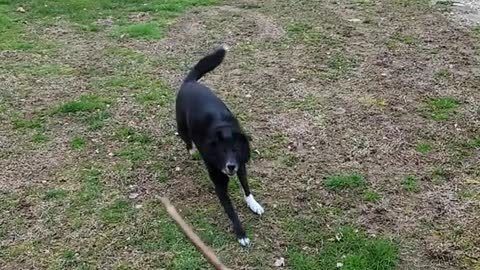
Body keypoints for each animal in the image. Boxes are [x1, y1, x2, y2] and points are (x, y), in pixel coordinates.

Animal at [176, 46, 264, 247]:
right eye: (222, 151)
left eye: (236, 150)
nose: (230, 166)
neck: (225, 130)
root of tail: (190, 81)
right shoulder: (220, 184)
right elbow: (231, 212)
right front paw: (241, 234)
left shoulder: (241, 166)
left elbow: (246, 187)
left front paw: (253, 204)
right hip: (181, 126)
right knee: (187, 140)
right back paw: (192, 151)